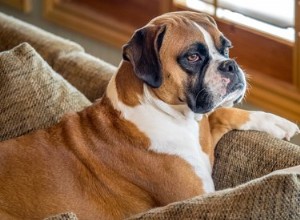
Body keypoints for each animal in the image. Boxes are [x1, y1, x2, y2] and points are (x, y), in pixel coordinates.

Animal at [0, 11, 300, 220]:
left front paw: (275, 121)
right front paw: (291, 172)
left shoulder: (203, 129)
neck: (176, 118)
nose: (230, 65)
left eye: (226, 48)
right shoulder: (197, 196)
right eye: (192, 57)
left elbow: (223, 112)